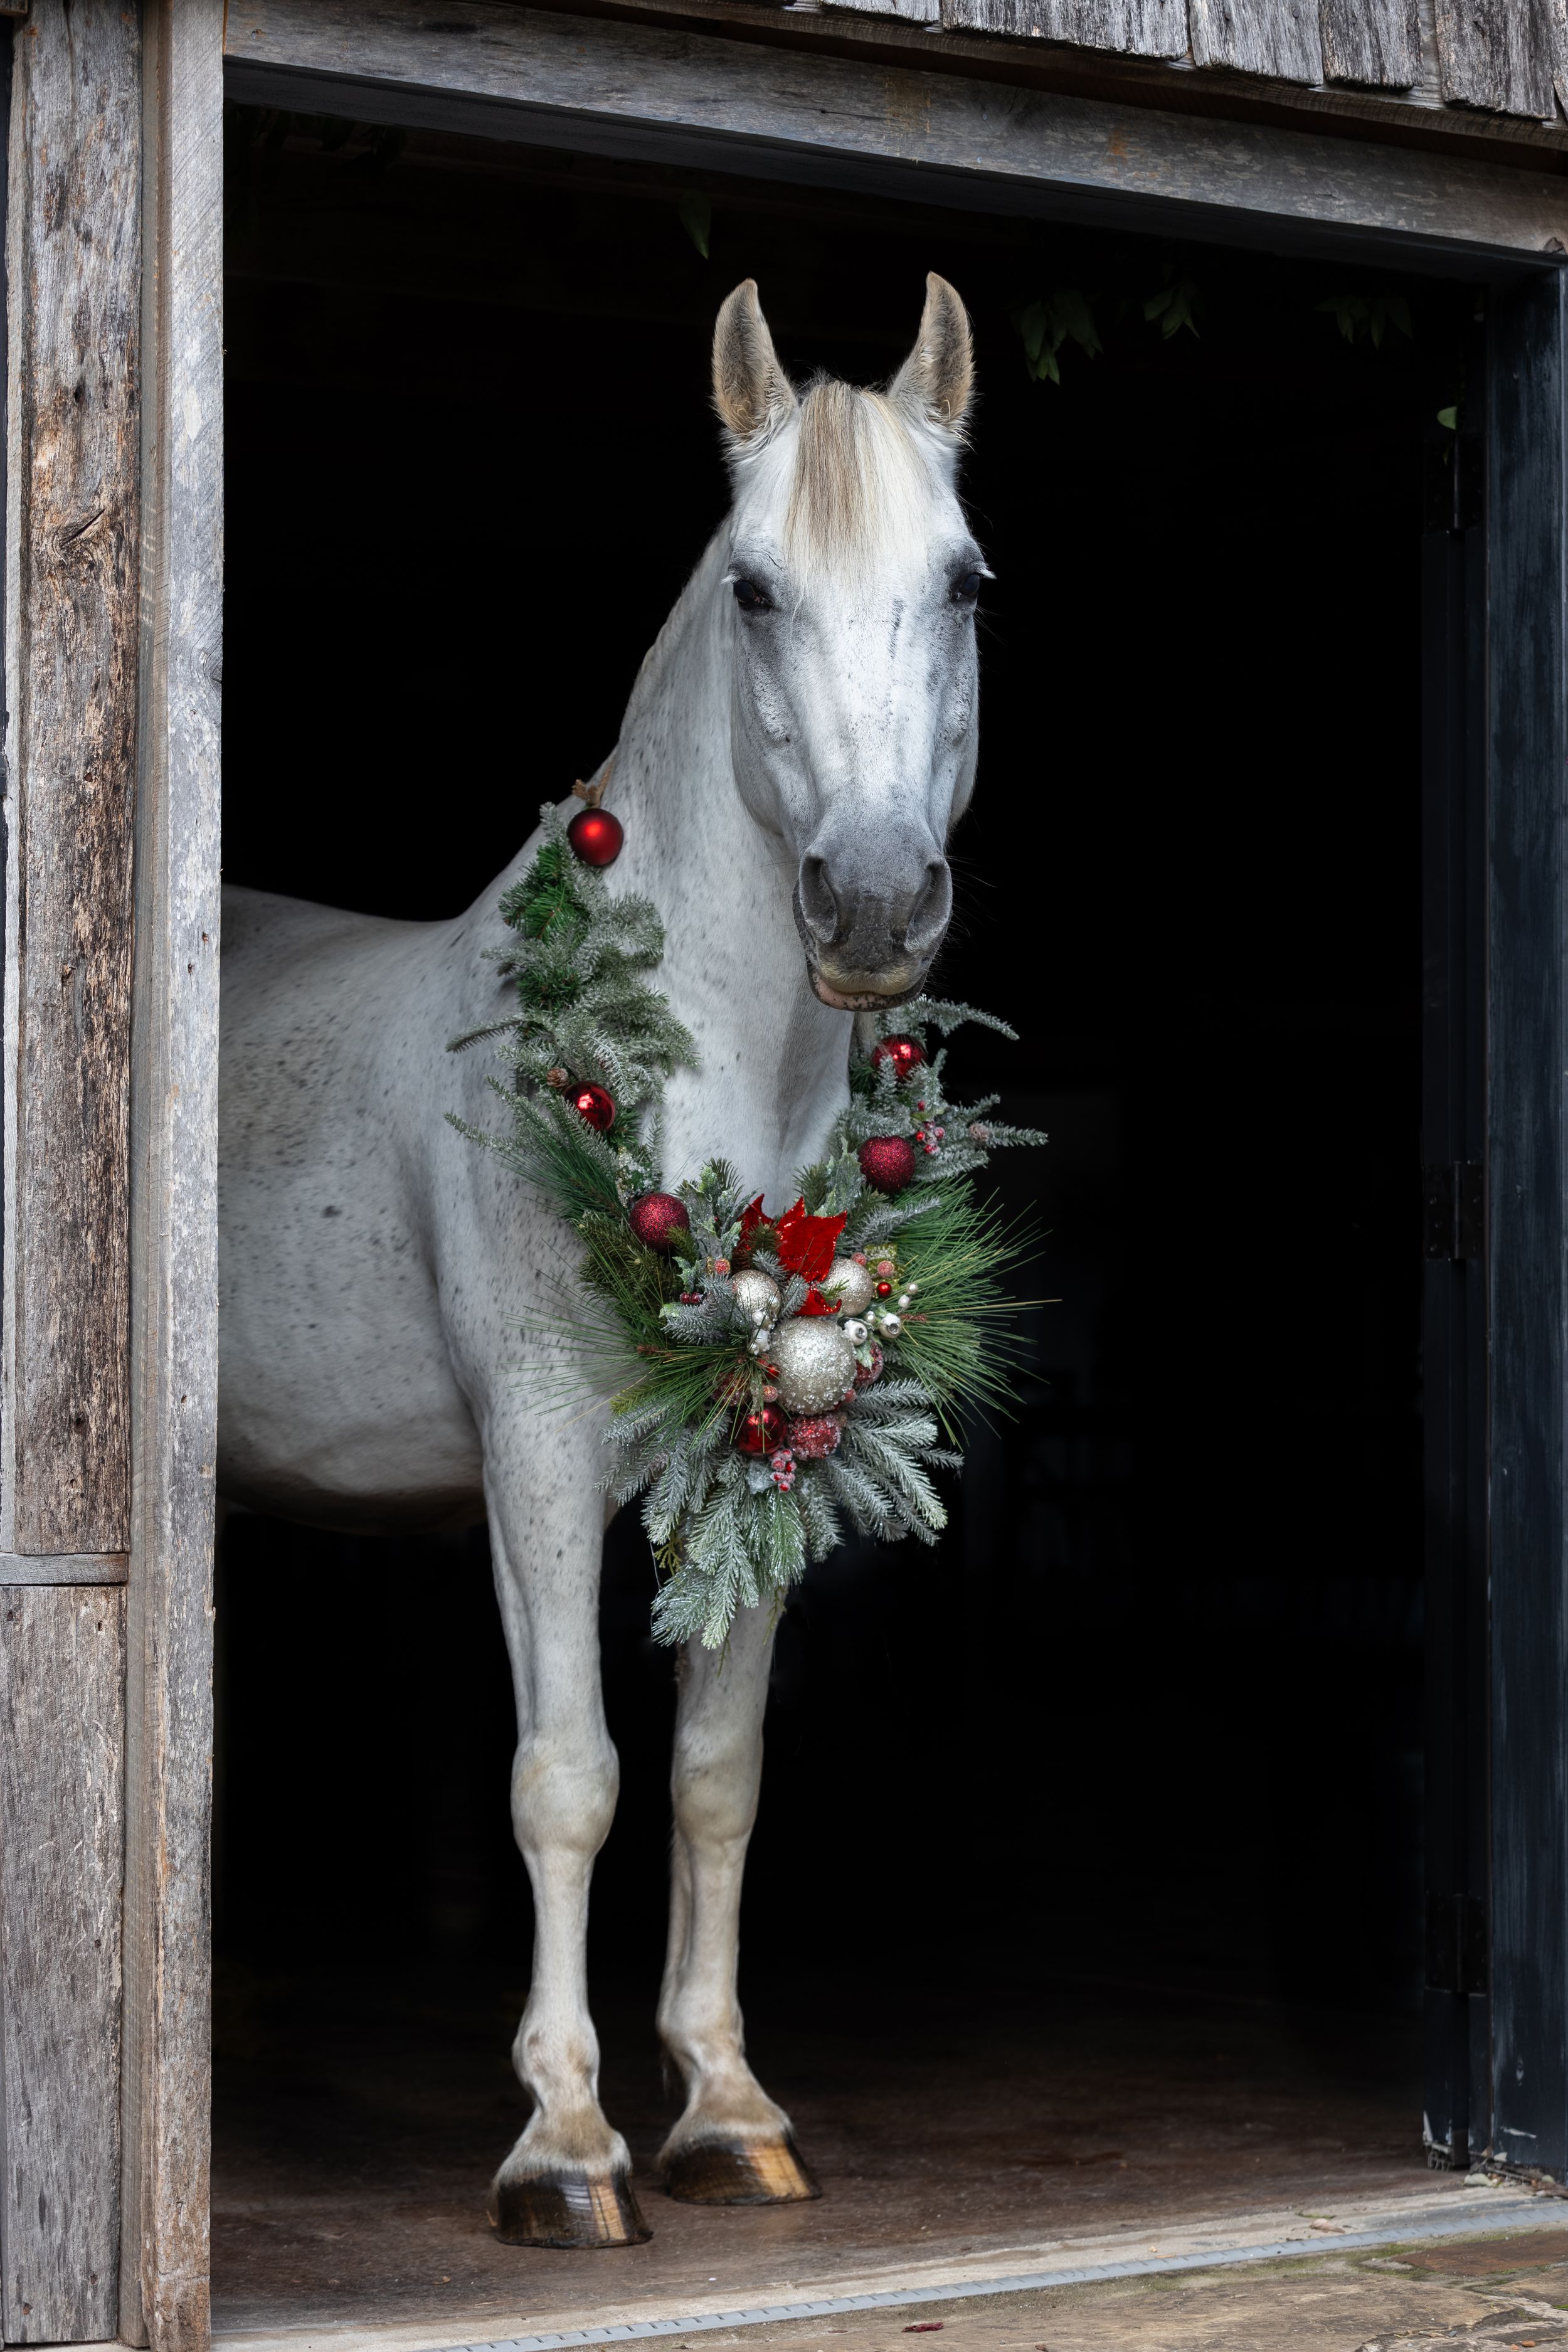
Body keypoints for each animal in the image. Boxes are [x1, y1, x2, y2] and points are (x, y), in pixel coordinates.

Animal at [216, 272, 985, 2249]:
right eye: (755, 589)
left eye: (962, 581)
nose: (874, 900)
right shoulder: (547, 1454)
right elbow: (569, 1779)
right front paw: (564, 2142)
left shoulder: (764, 1457)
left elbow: (714, 1783)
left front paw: (723, 2104)